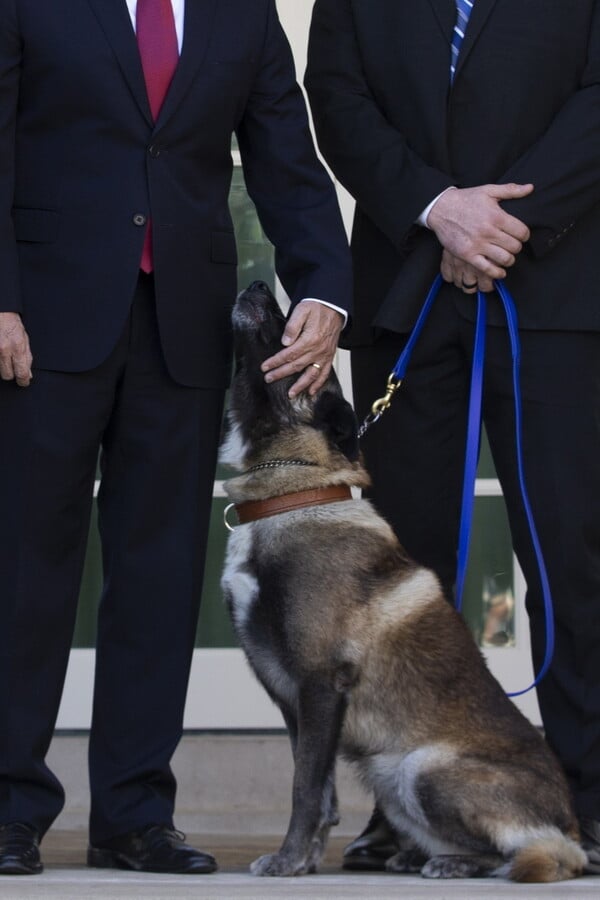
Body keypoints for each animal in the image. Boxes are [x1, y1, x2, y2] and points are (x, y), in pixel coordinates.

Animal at [220, 284, 584, 884]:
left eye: (293, 336)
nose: (254, 286)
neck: (295, 494)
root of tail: (574, 829)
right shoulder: (299, 700)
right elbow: (321, 791)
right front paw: (306, 860)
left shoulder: (320, 683)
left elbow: (304, 787)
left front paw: (290, 861)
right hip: (390, 776)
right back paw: (418, 854)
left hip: (420, 766)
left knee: (521, 854)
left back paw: (451, 863)